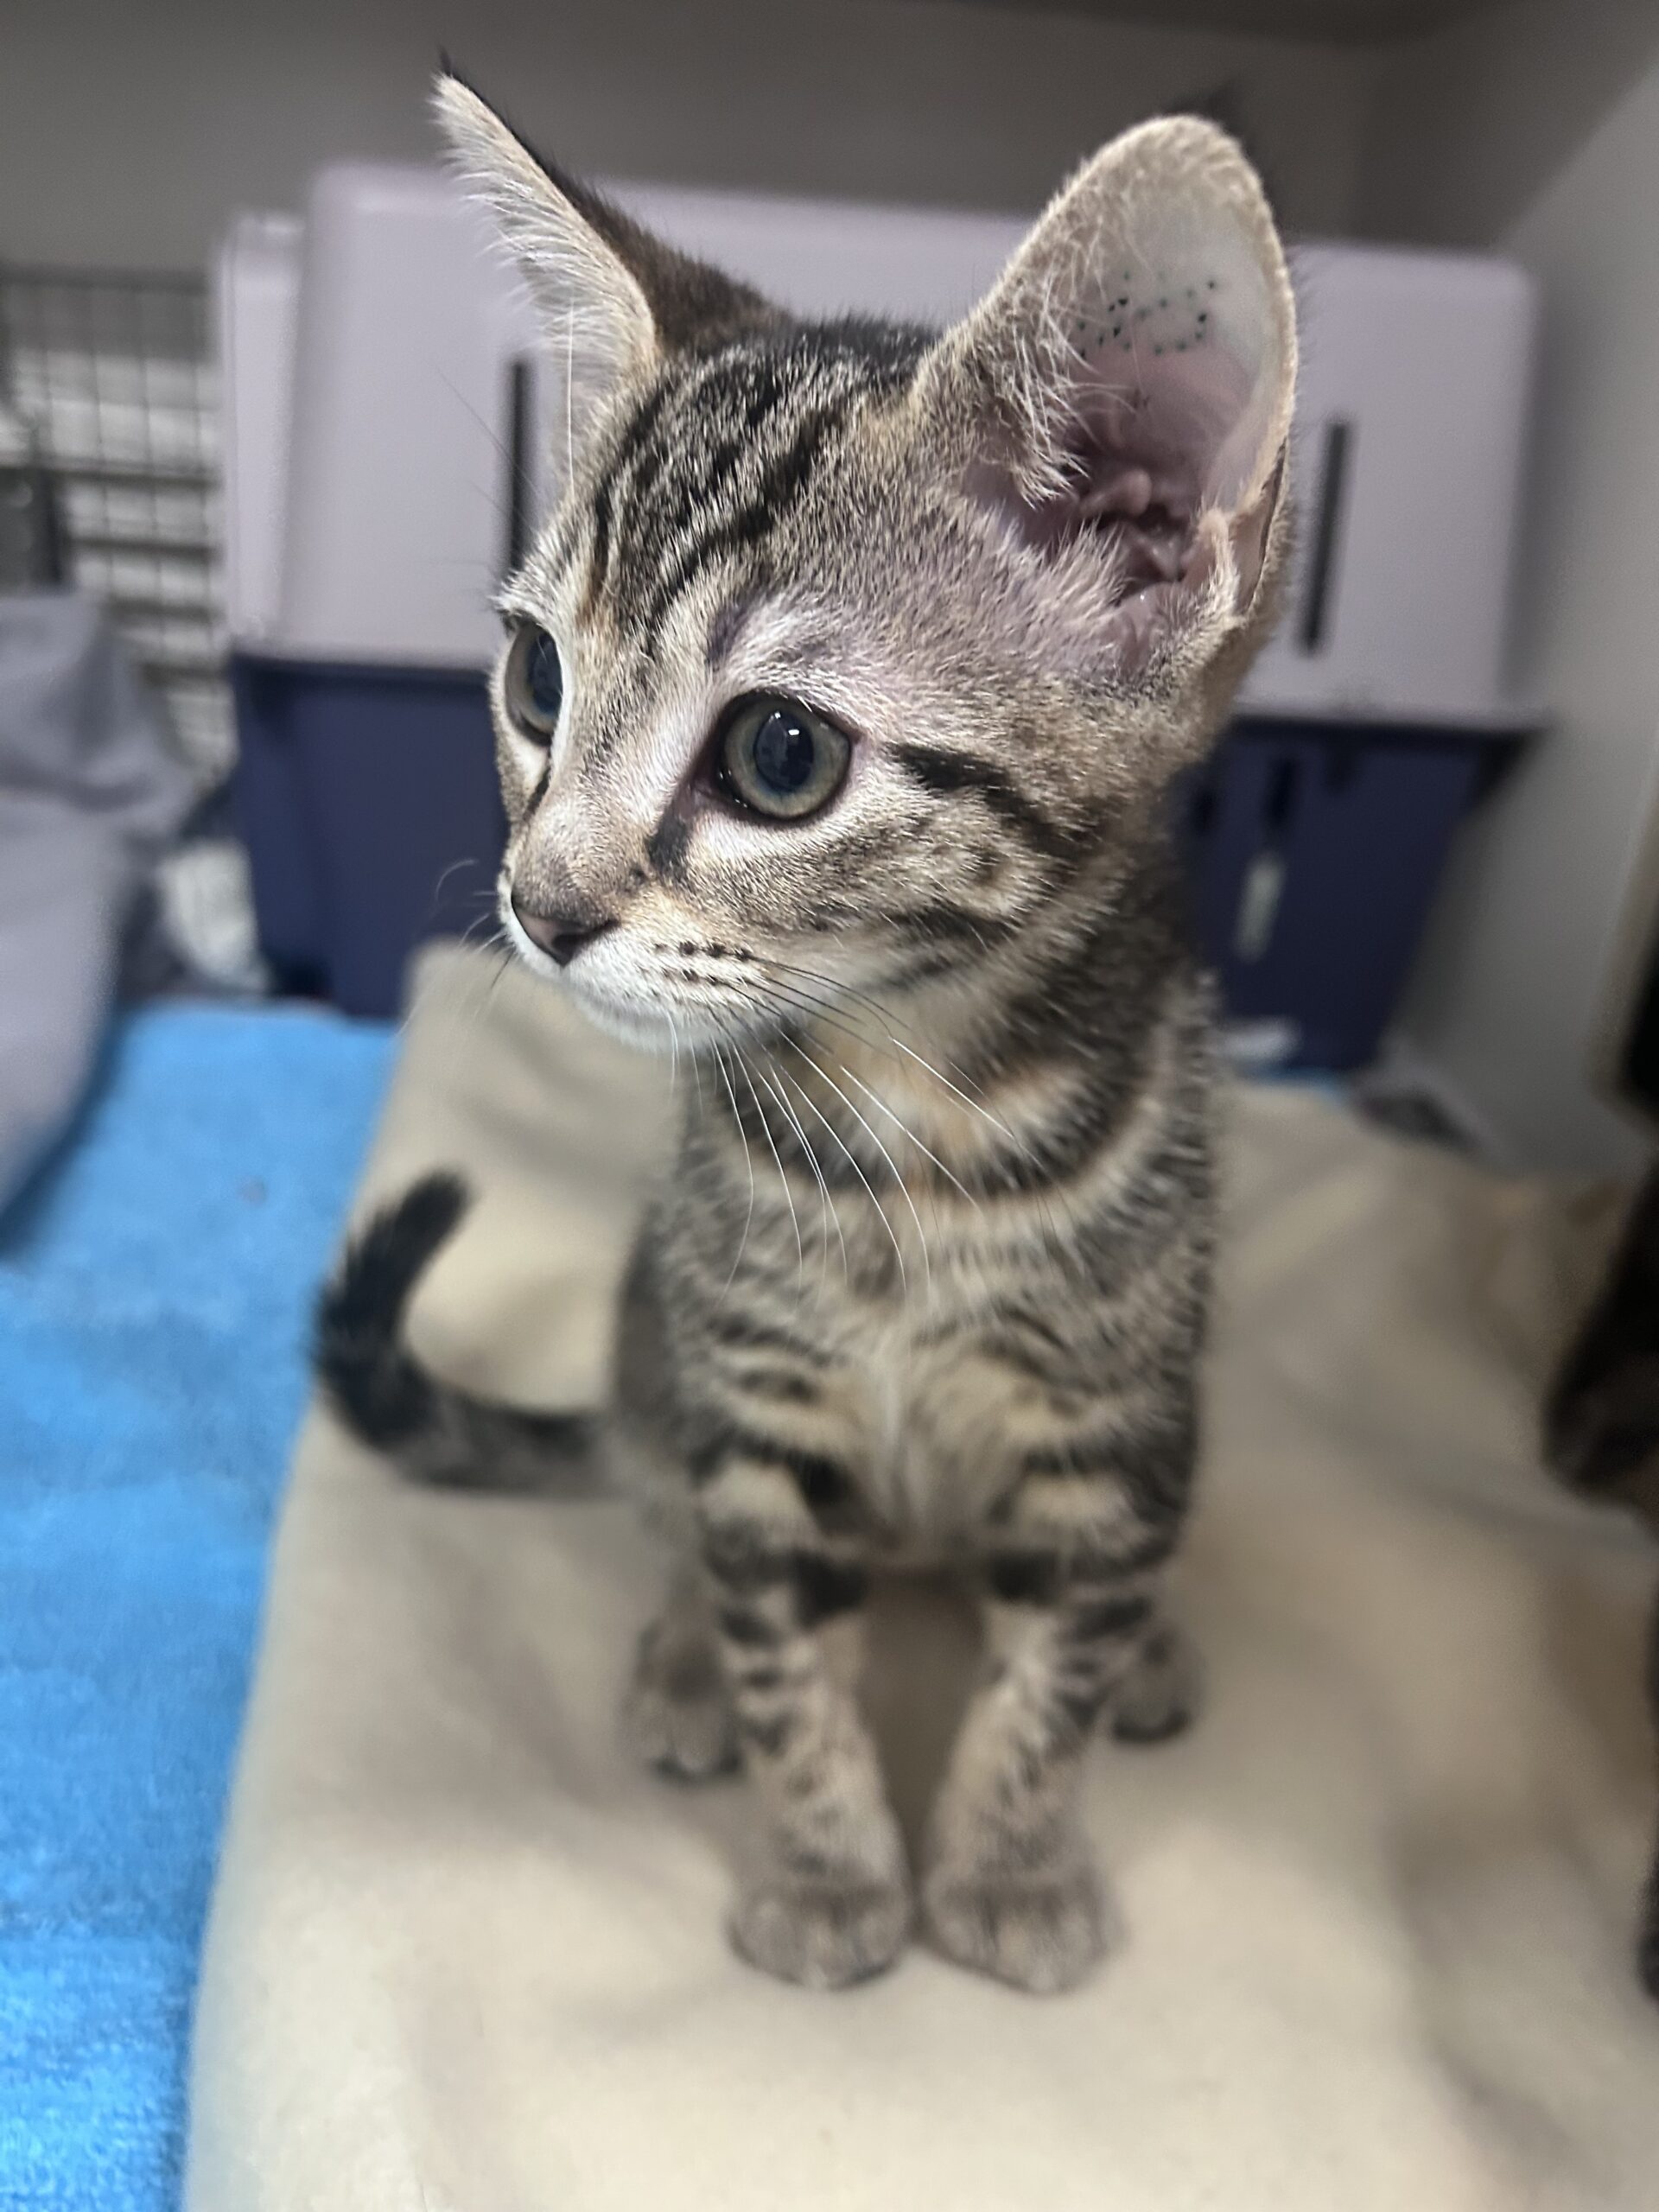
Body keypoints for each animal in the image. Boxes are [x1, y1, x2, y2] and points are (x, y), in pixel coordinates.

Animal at [318, 71, 1297, 1993]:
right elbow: (790, 1657)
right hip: (663, 1326)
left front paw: (1010, 1857)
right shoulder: (757, 1407)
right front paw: (836, 1867)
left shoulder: (1103, 1419)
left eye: (782, 757)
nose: (539, 901)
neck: (918, 1110)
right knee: (673, 1506)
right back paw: (685, 1654)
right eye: (535, 681)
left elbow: (1049, 1675)